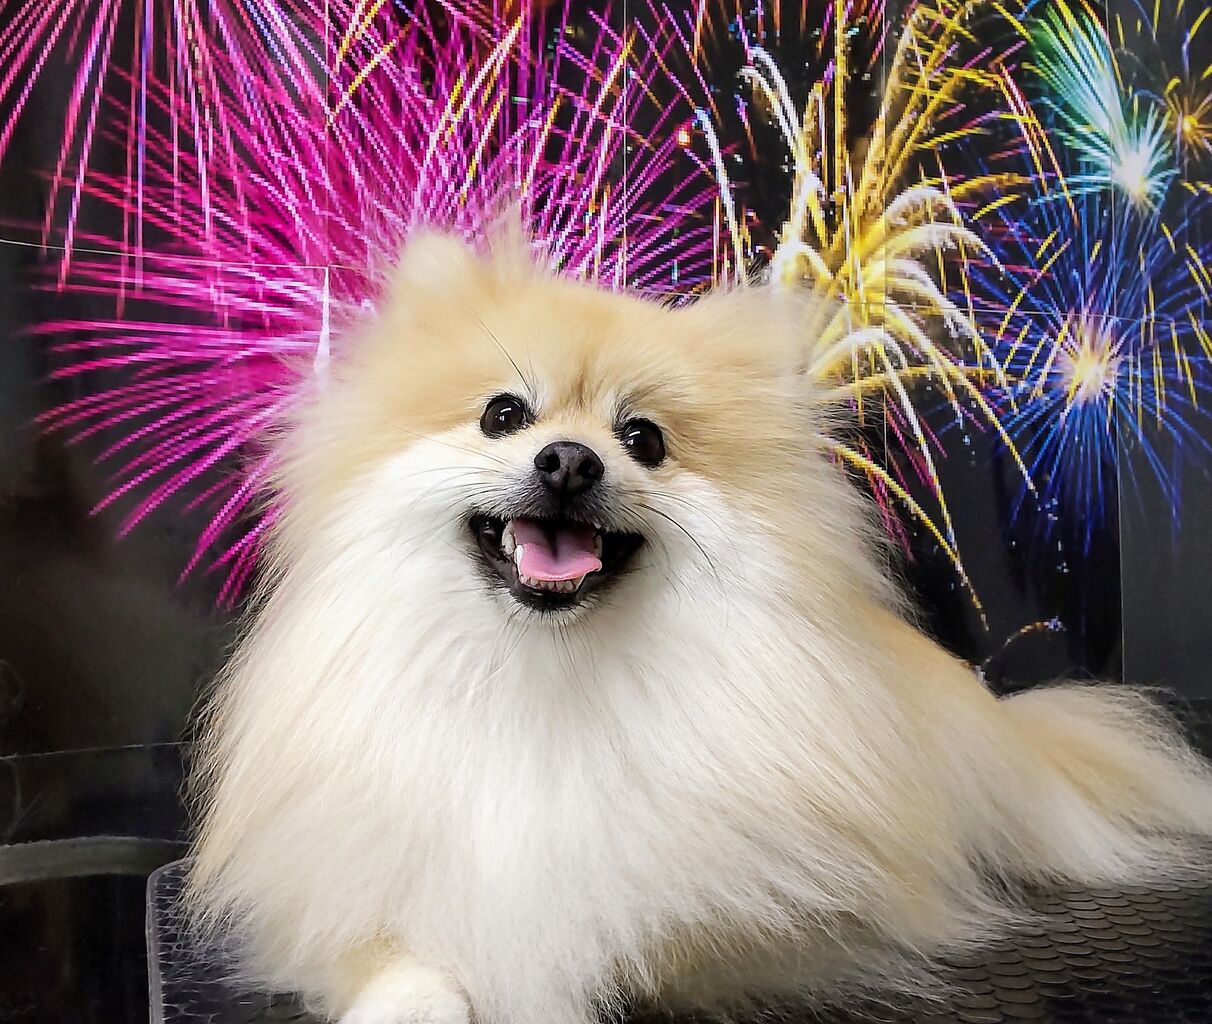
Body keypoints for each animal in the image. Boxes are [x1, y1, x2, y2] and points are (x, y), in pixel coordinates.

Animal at [187, 228, 1212, 1024]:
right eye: (502, 415)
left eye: (644, 439)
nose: (569, 460)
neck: (548, 680)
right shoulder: (339, 876)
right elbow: (393, 948)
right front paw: (415, 997)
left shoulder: (797, 907)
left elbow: (659, 924)